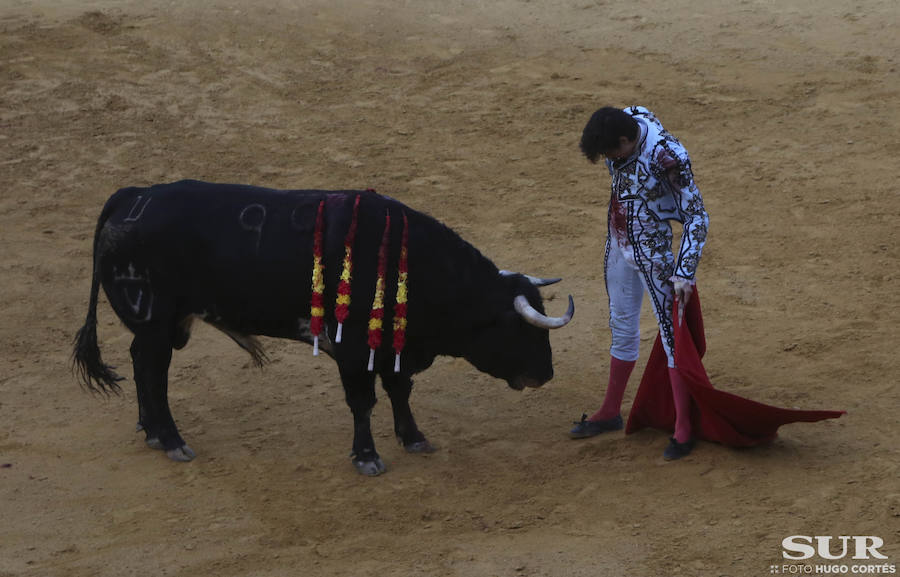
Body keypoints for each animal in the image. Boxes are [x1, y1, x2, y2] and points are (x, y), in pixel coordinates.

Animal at [72, 180, 576, 472]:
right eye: (522, 329)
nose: (546, 374)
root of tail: (131, 197)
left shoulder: (392, 347)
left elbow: (399, 391)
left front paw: (413, 438)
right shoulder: (352, 350)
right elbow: (364, 401)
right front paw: (367, 457)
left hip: (160, 325)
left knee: (141, 365)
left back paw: (152, 431)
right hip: (156, 320)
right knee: (152, 371)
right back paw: (173, 439)